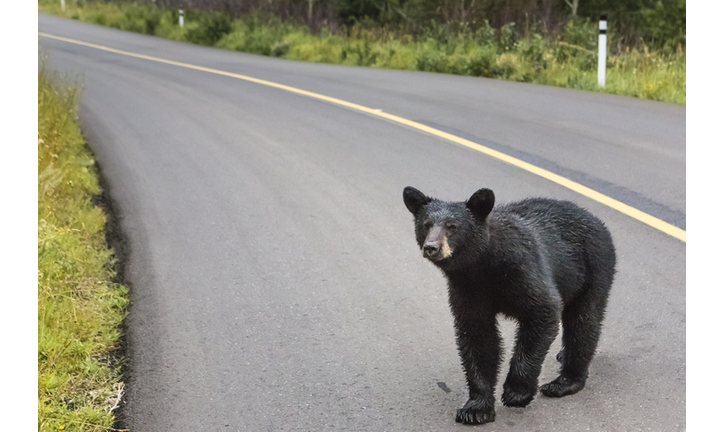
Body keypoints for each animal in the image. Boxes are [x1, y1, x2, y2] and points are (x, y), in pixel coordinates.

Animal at [404, 186, 612, 426]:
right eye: (426, 224)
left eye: (452, 226)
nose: (432, 247)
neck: (482, 265)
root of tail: (596, 220)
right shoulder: (467, 290)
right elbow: (478, 337)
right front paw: (476, 408)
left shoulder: (523, 270)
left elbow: (543, 311)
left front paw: (517, 392)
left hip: (593, 268)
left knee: (584, 322)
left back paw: (564, 382)